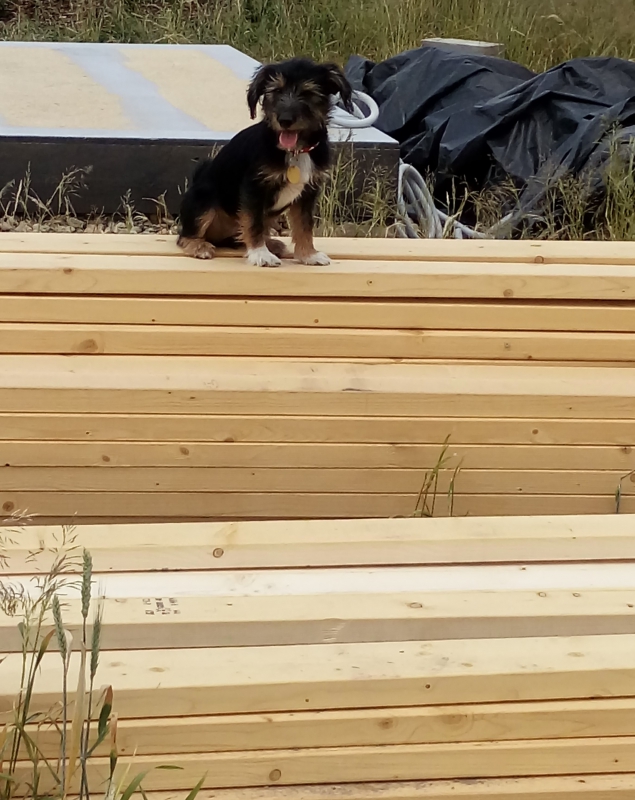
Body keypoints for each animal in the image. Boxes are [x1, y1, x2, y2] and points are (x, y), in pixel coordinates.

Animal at [177, 57, 353, 267]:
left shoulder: (308, 193)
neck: (294, 151)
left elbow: (304, 225)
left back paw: (271, 244)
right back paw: (199, 246)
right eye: (276, 91)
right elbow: (254, 223)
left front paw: (308, 254)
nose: (284, 120)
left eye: (308, 93)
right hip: (204, 199)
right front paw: (260, 254)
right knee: (185, 236)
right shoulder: (254, 188)